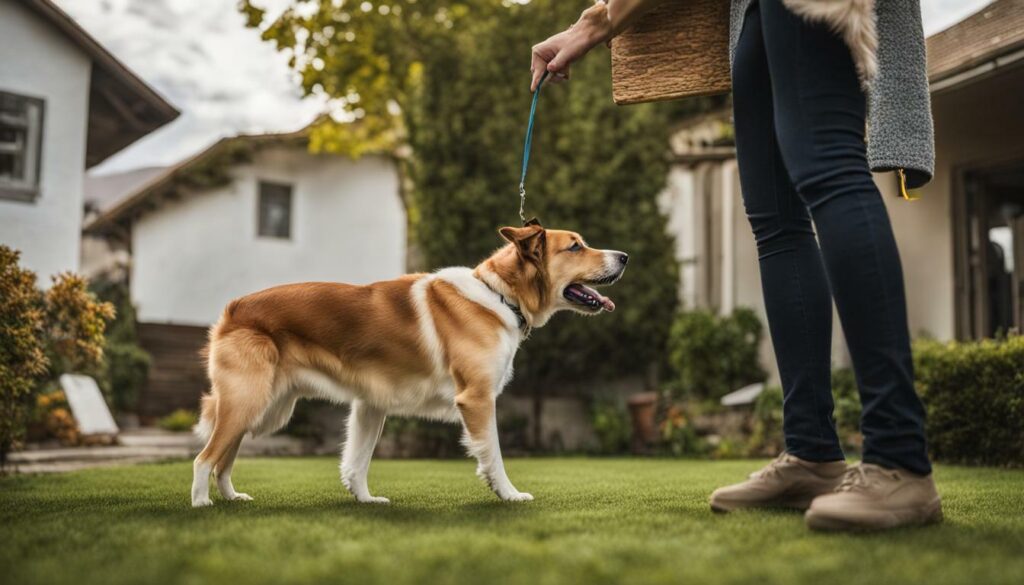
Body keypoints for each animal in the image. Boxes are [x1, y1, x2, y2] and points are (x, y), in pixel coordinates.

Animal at [190, 221, 622, 508]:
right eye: (575, 247)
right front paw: (509, 494)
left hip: (262, 411)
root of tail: (233, 309)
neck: (498, 295)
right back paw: (201, 505)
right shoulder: (478, 400)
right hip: (249, 403)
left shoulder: (370, 406)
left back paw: (231, 497)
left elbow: (356, 462)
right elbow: (493, 456)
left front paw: (366, 501)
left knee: (224, 459)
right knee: (205, 458)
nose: (625, 256)